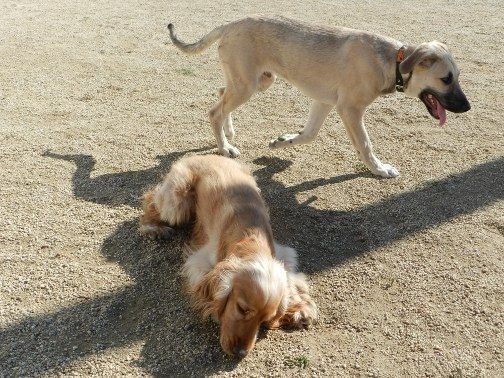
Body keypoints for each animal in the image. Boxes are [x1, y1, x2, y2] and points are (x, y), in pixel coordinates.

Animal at [140, 154, 316, 358]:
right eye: (241, 308)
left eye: (265, 319)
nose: (240, 352)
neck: (250, 238)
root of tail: (202, 155)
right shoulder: (199, 261)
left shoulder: (284, 254)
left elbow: (293, 281)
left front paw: (300, 309)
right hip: (177, 201)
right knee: (151, 198)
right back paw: (154, 228)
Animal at [167, 15, 470, 178]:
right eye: (446, 79)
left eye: (458, 76)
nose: (467, 107)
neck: (392, 60)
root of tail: (230, 24)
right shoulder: (349, 110)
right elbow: (365, 145)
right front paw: (380, 169)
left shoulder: (324, 102)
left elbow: (309, 135)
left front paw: (282, 142)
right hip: (247, 85)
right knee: (214, 111)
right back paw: (224, 148)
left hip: (257, 81)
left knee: (221, 95)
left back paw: (229, 133)